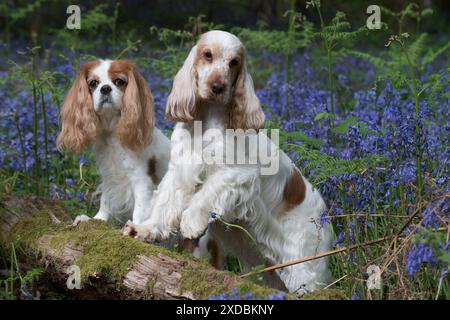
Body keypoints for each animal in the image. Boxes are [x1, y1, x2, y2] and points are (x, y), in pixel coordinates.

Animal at [56, 59, 169, 225]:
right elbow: (106, 199)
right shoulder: (109, 176)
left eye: (119, 81)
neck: (112, 133)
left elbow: (140, 208)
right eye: (93, 83)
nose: (105, 88)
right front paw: (97, 219)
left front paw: (135, 226)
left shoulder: (141, 179)